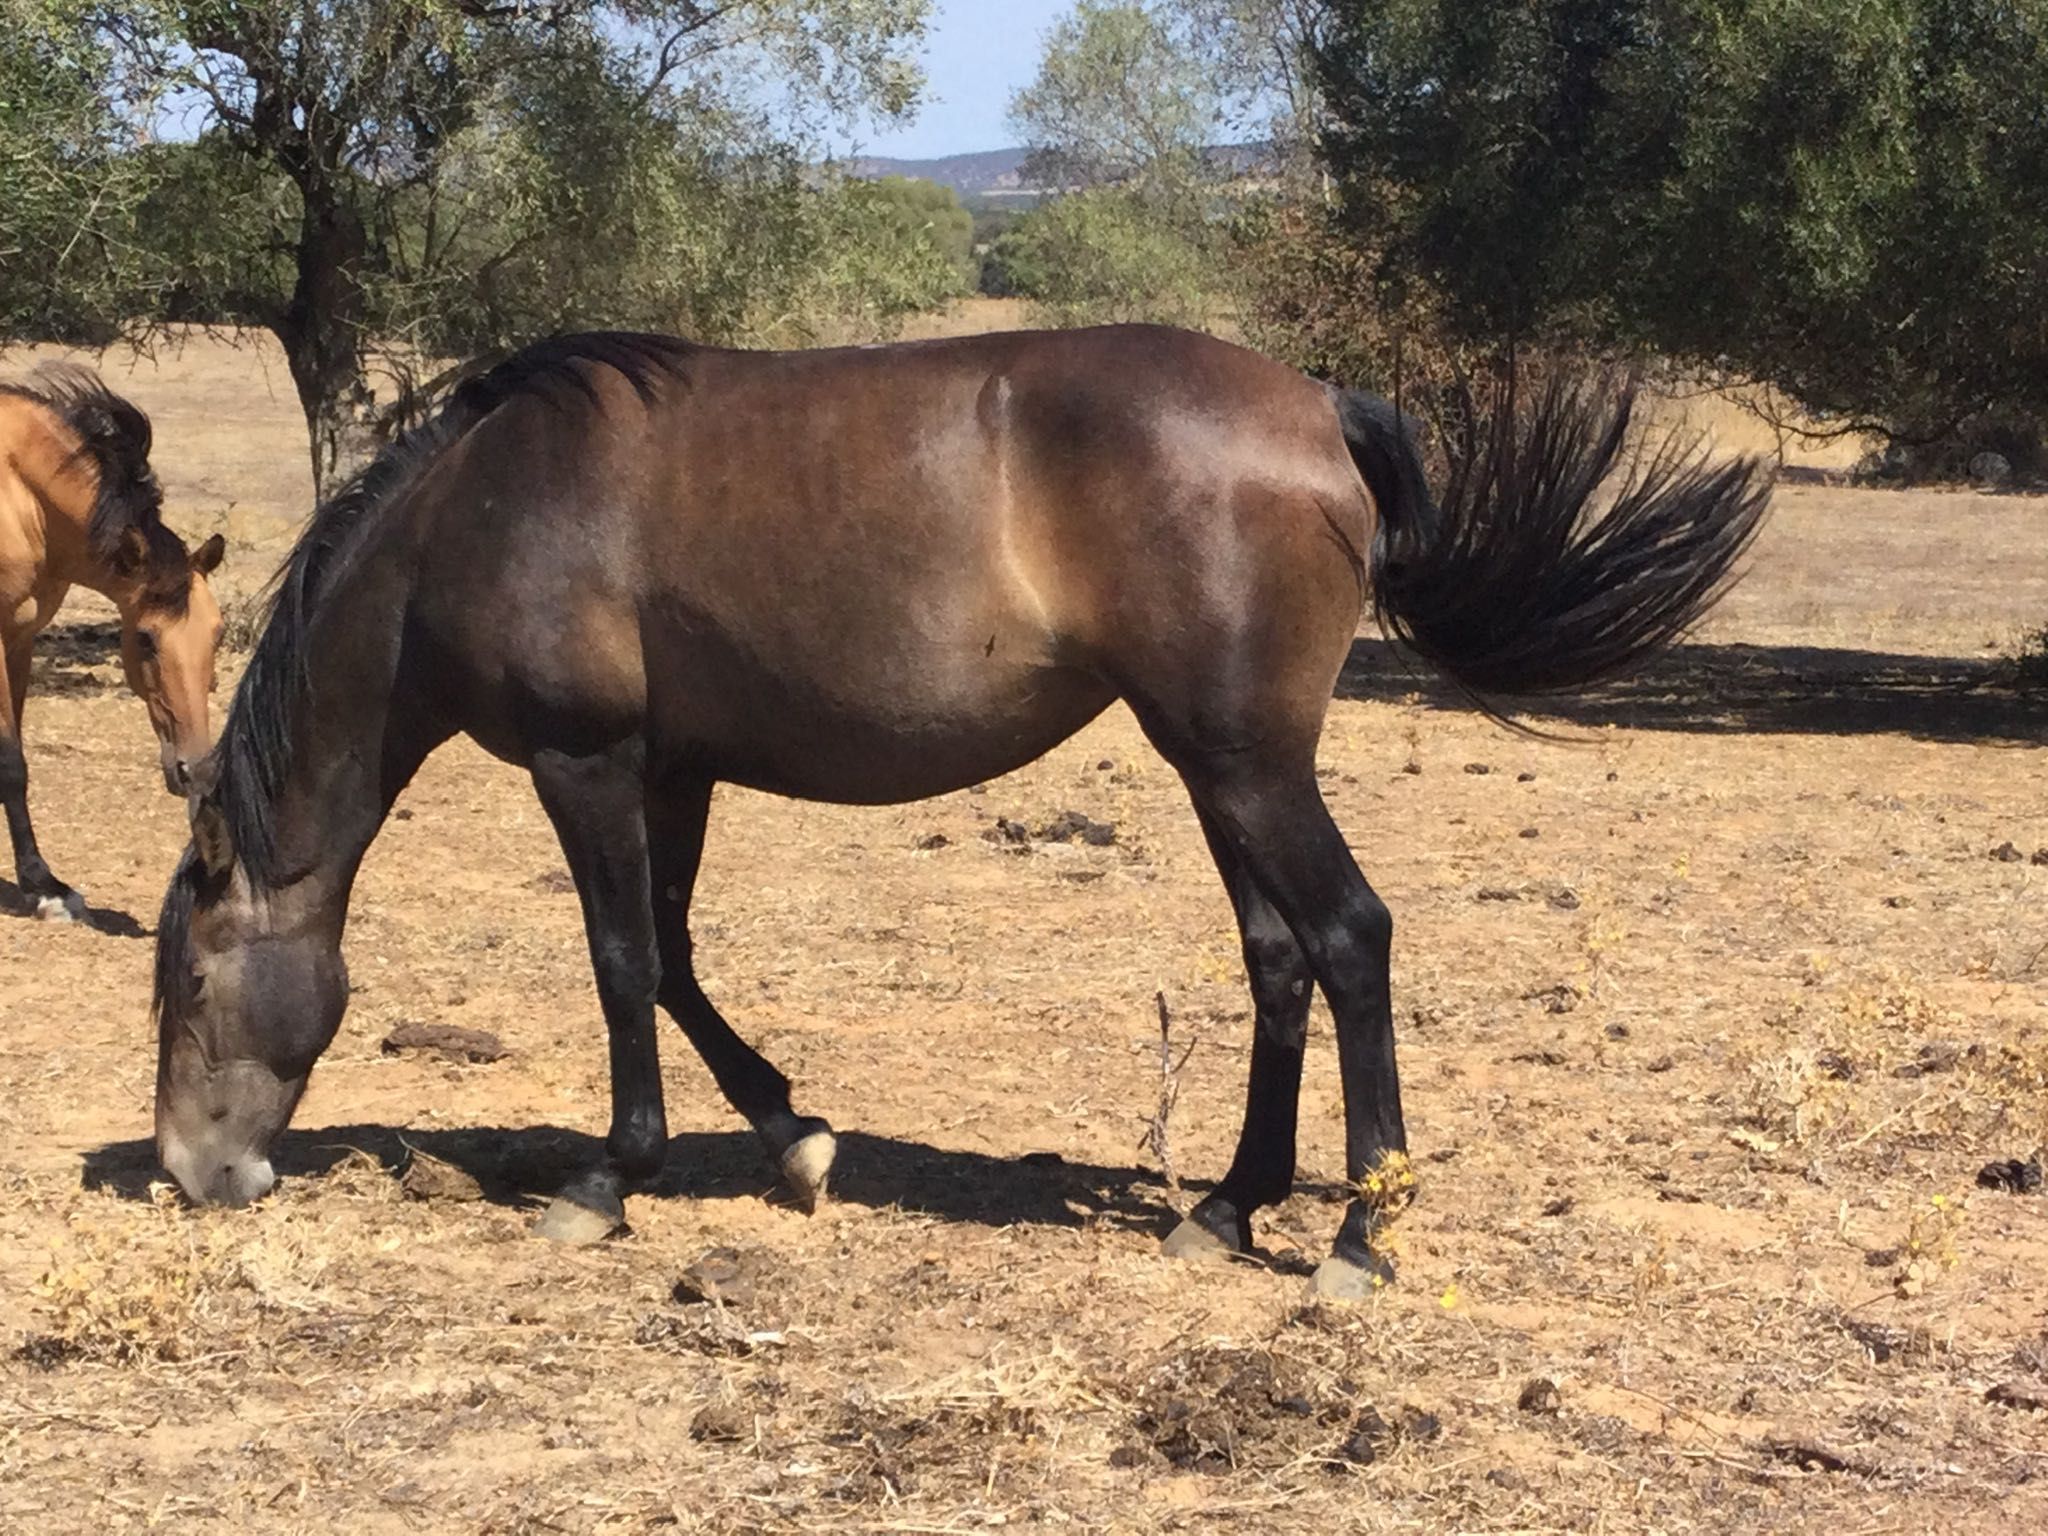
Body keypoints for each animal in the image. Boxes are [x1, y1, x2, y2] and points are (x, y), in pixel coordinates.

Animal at [0, 366, 225, 921]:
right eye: (144, 639)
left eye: (217, 635)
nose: (195, 771)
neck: (19, 496)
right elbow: (11, 763)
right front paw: (44, 887)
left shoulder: (20, 640)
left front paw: (43, 882)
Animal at [151, 327, 1769, 1302]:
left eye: (188, 992)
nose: (192, 1179)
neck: (479, 513)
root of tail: (1319, 404)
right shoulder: (674, 771)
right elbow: (675, 963)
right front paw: (795, 1139)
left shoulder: (587, 763)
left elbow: (621, 968)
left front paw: (609, 1180)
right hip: (1214, 766)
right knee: (1278, 957)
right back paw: (1228, 1207)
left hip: (1248, 761)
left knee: (1350, 938)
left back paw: (1362, 1237)